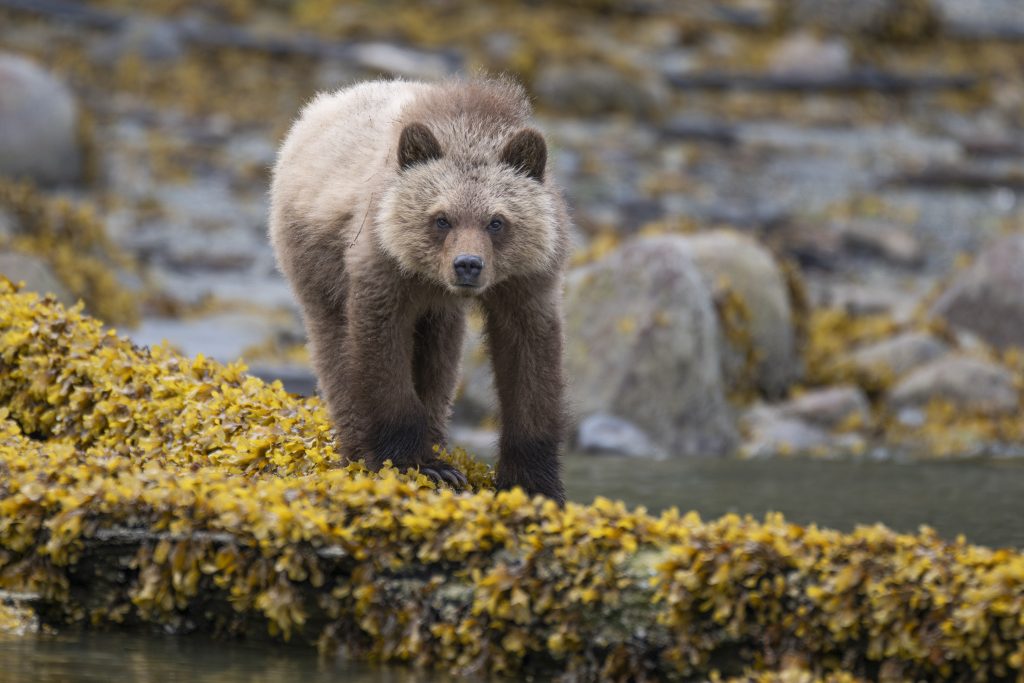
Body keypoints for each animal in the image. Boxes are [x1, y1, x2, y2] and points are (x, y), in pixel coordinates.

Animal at [269, 78, 571, 503]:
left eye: (496, 221)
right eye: (441, 218)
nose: (467, 264)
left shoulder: (527, 280)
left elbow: (530, 361)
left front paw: (534, 482)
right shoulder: (383, 265)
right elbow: (381, 353)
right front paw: (415, 462)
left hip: (437, 311)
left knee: (439, 355)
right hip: (314, 256)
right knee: (333, 344)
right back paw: (361, 446)